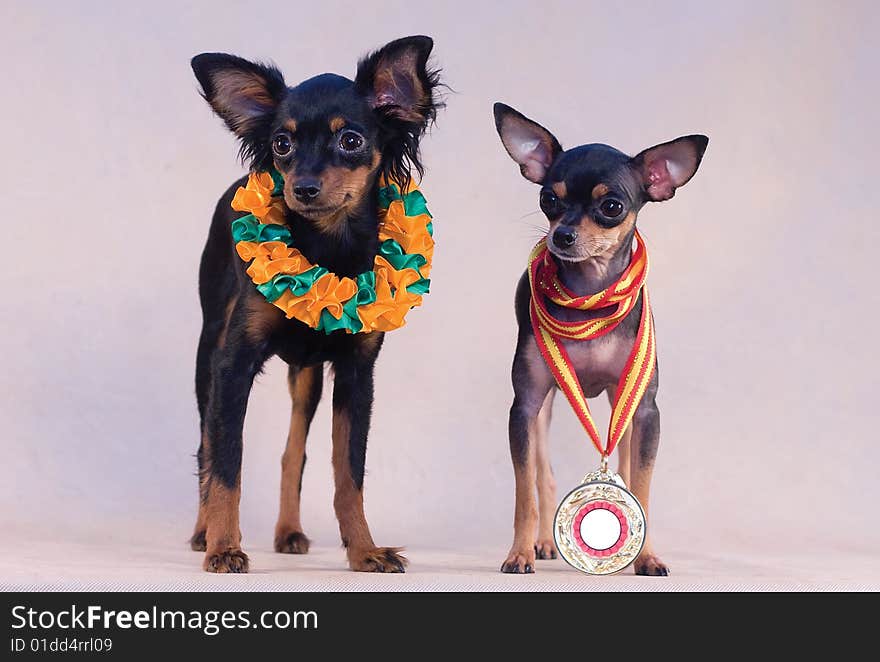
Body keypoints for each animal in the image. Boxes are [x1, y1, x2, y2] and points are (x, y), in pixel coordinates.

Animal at [188, 37, 444, 576]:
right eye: (282, 145)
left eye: (350, 140)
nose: (301, 187)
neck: (329, 243)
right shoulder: (231, 365)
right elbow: (226, 461)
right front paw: (224, 547)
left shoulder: (356, 375)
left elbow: (349, 474)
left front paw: (365, 551)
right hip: (207, 351)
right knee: (206, 442)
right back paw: (203, 532)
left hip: (306, 378)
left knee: (294, 452)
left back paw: (288, 531)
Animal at [496, 102, 708, 576]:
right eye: (548, 199)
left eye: (612, 206)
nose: (561, 235)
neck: (590, 299)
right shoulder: (524, 406)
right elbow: (522, 493)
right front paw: (518, 552)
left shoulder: (645, 409)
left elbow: (641, 486)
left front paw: (646, 557)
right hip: (543, 409)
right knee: (543, 475)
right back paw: (542, 542)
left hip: (620, 406)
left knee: (626, 462)